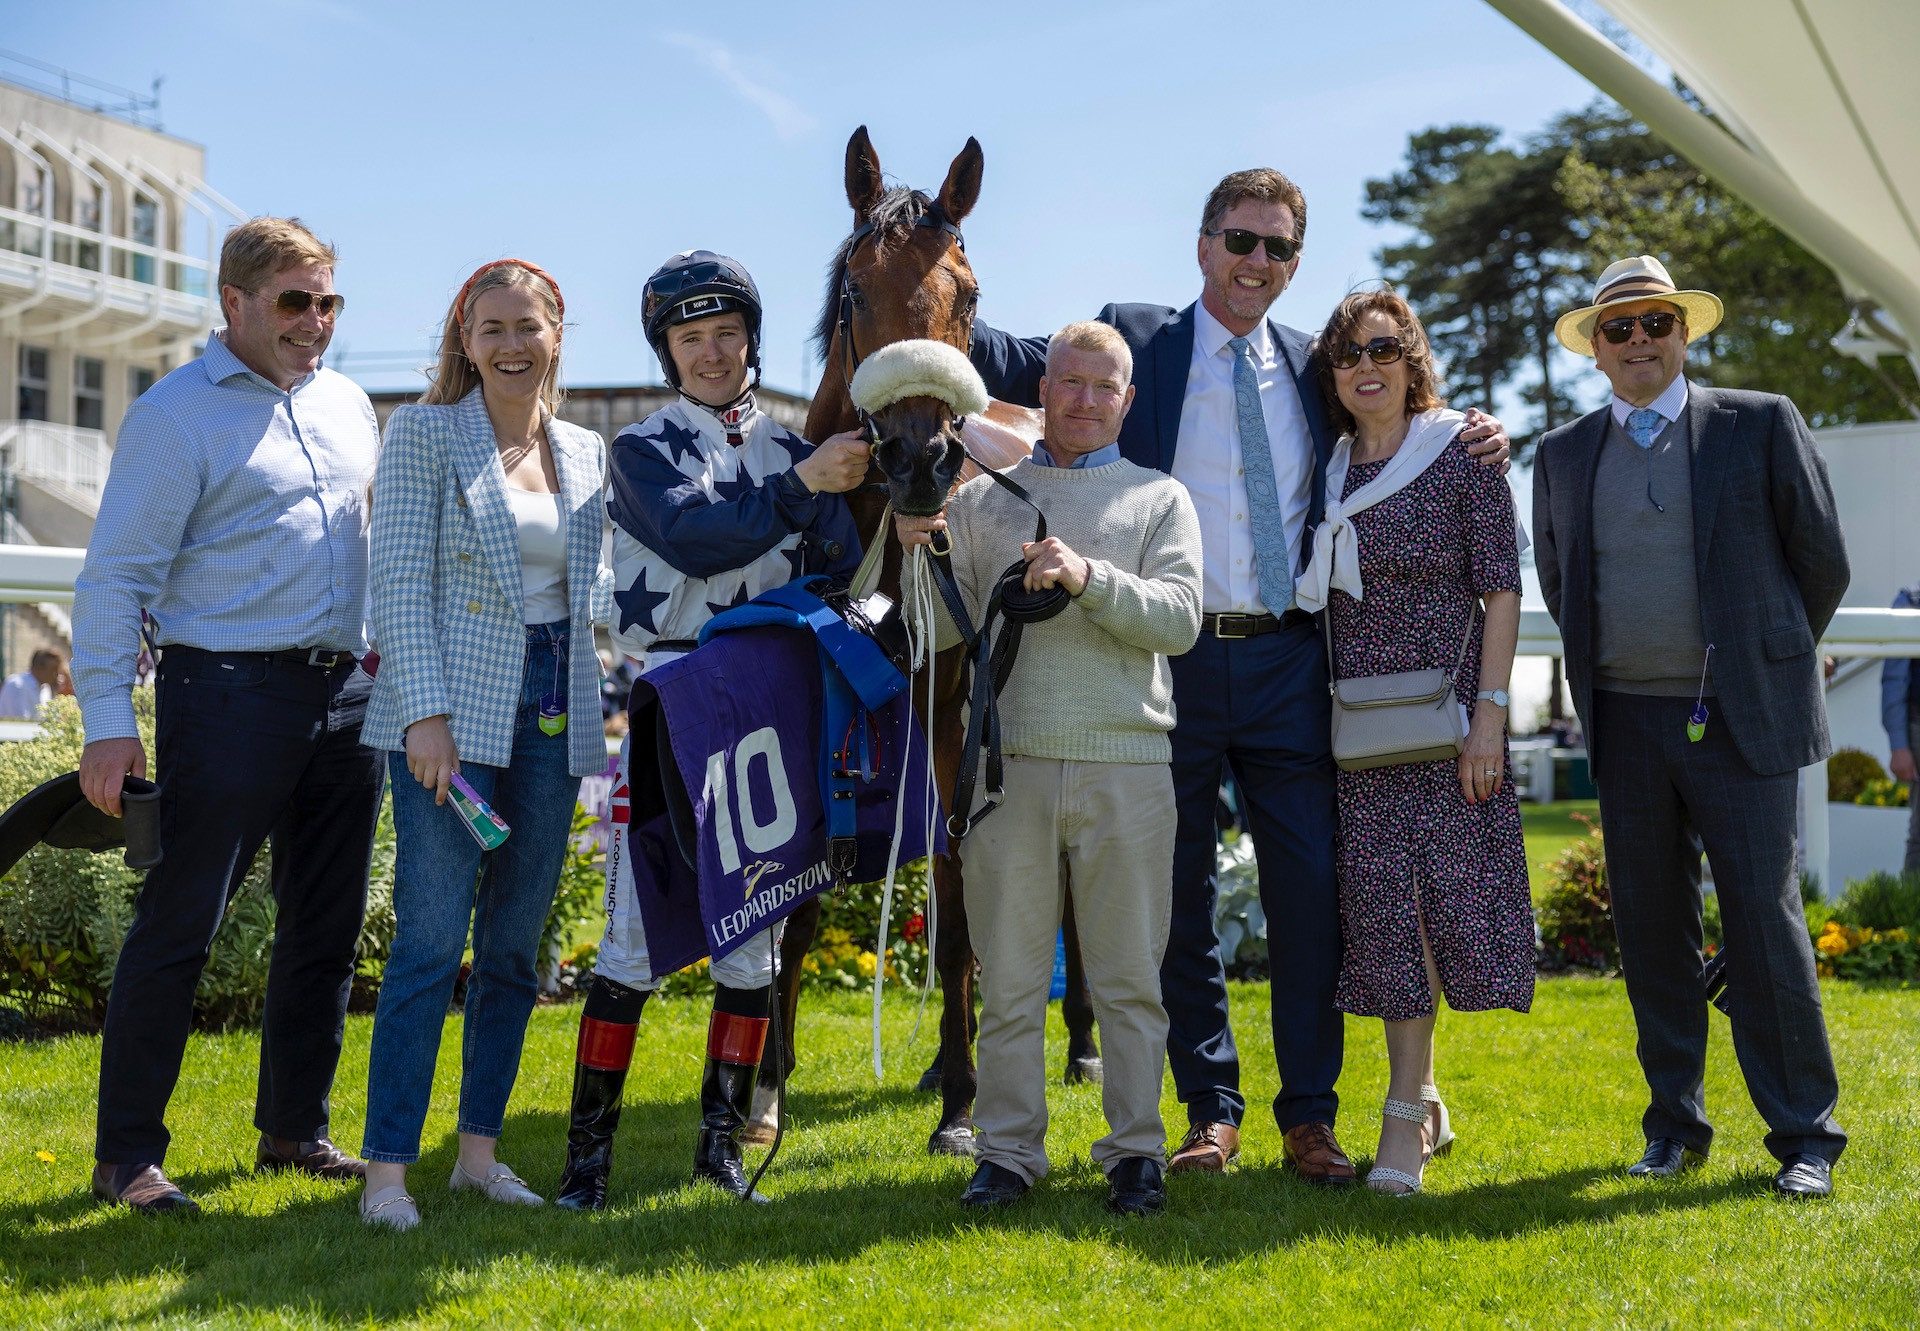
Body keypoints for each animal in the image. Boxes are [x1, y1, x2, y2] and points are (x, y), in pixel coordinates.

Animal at [756, 129, 1105, 1160]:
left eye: (971, 295)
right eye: (854, 292)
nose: (921, 457)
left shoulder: (954, 704)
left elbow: (955, 892)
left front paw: (960, 1105)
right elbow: (808, 899)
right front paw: (768, 1087)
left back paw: (1073, 1047)